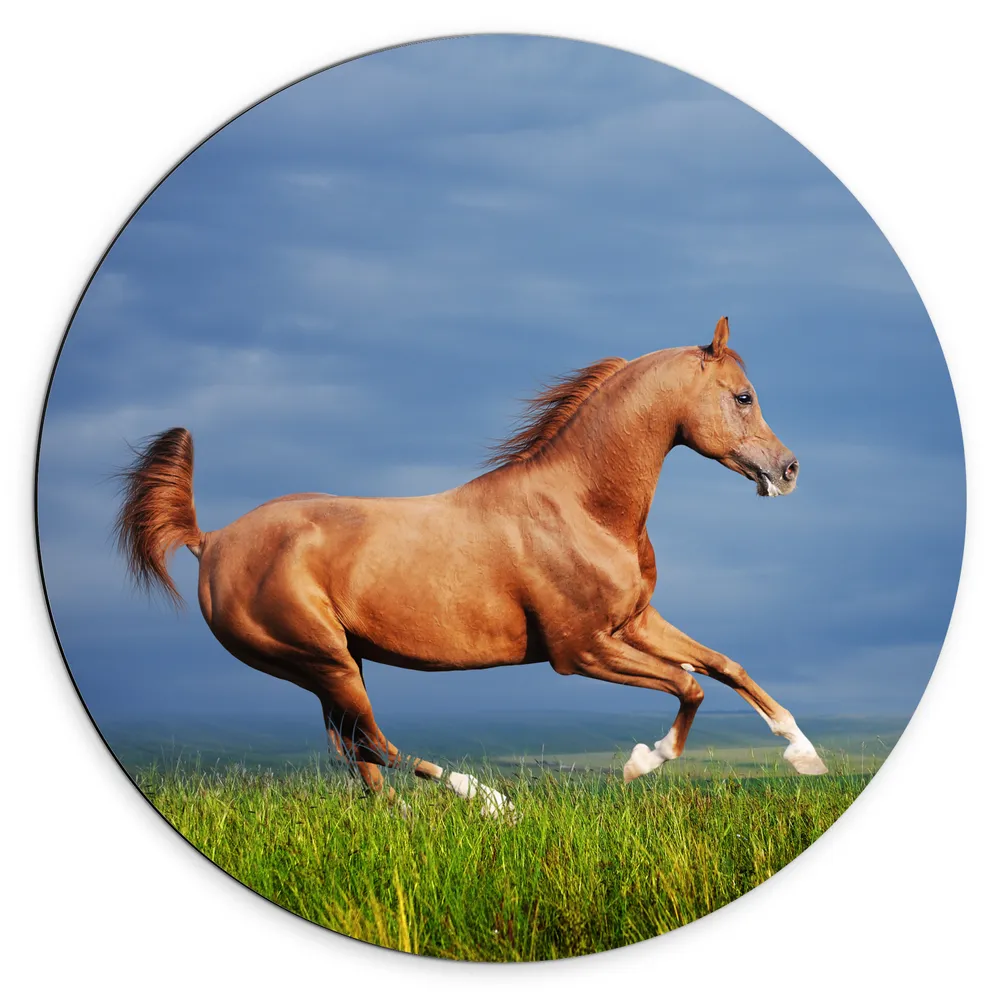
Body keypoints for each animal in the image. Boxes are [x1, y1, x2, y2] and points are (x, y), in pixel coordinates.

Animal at [114, 316, 827, 815]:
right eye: (743, 396)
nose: (789, 469)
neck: (581, 505)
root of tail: (211, 541)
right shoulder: (581, 651)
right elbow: (689, 686)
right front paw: (641, 763)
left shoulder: (635, 623)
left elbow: (724, 666)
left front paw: (805, 755)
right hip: (320, 661)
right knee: (374, 747)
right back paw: (488, 801)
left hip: (335, 668)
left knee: (360, 758)